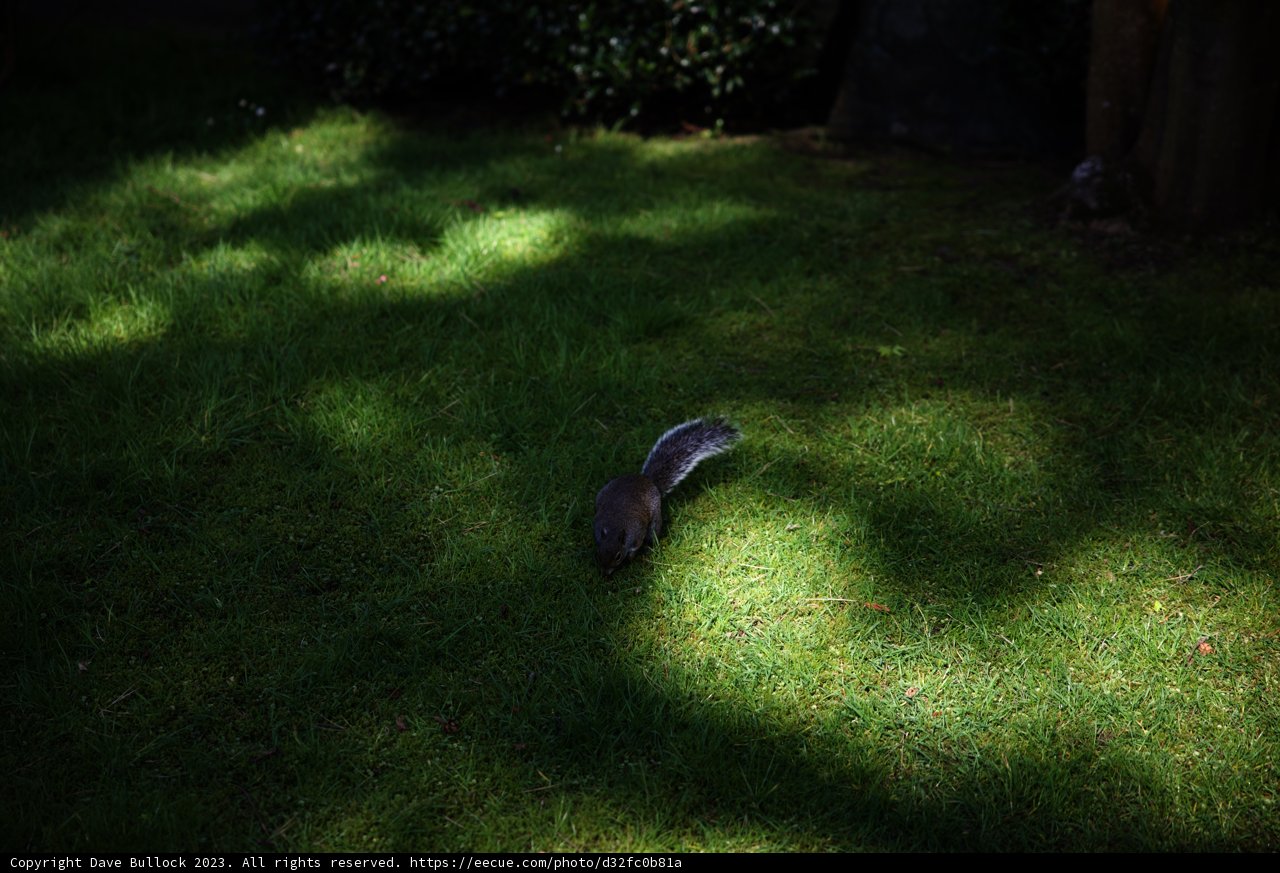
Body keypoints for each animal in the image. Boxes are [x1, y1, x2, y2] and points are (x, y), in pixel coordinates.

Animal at [593, 417, 741, 574]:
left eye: (618, 556)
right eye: (598, 553)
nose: (605, 573)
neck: (615, 525)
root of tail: (647, 480)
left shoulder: (636, 534)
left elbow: (634, 548)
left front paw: (630, 560)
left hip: (655, 518)